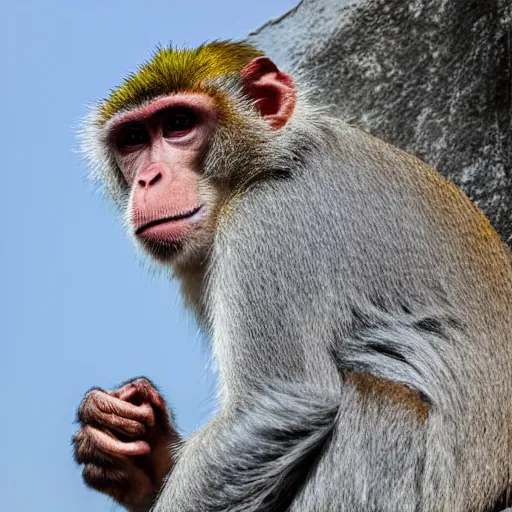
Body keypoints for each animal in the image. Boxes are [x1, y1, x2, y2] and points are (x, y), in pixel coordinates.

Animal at [73, 41, 512, 512]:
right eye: (133, 139)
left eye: (177, 124)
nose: (148, 178)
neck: (273, 158)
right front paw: (135, 448)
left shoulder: (264, 220)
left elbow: (277, 405)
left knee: (379, 398)